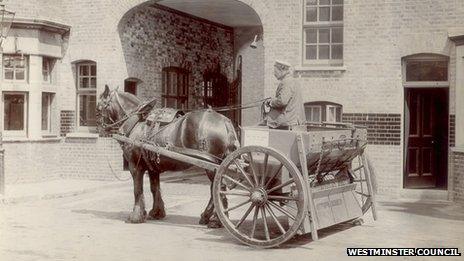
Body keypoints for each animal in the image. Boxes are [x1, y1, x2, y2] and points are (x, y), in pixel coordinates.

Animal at [94, 85, 239, 225]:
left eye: (99, 107)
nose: (99, 129)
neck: (137, 122)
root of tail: (224, 121)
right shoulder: (152, 167)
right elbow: (154, 188)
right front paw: (156, 212)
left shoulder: (135, 166)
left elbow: (138, 189)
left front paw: (136, 216)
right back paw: (208, 216)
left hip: (212, 165)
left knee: (218, 188)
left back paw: (216, 219)